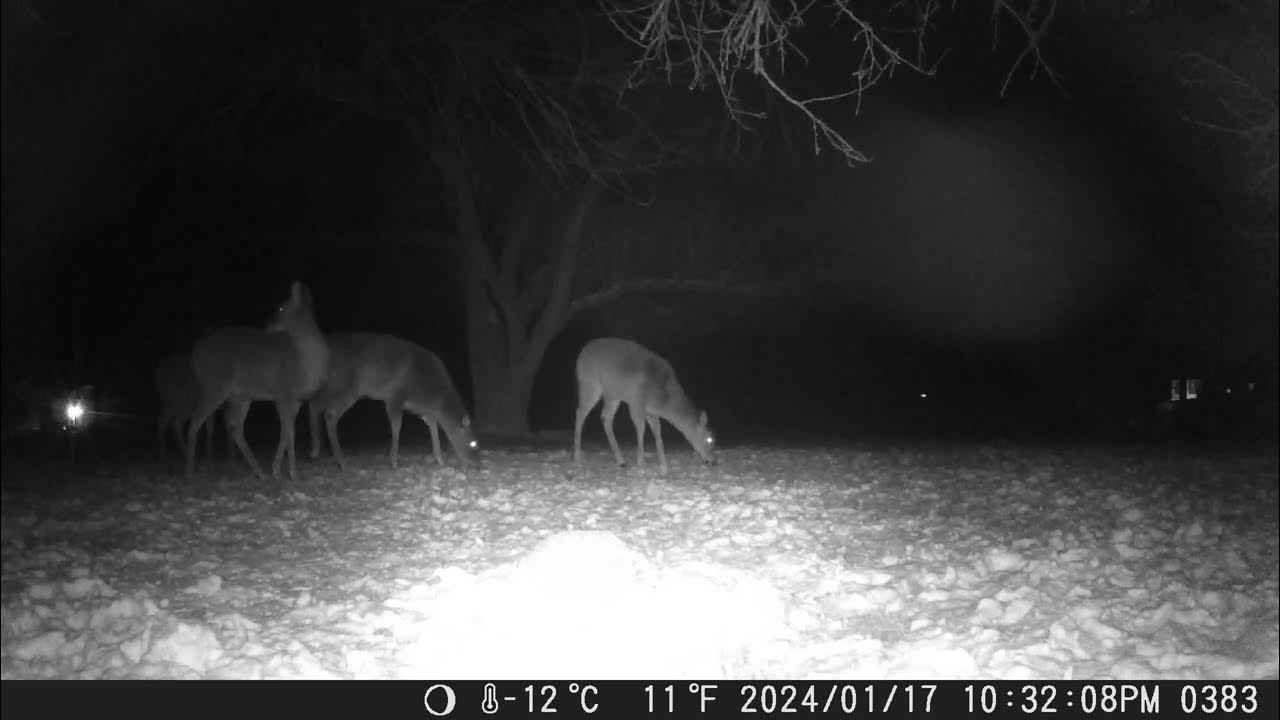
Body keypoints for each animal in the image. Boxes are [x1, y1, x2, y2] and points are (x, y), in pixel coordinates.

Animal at [185, 281, 330, 481]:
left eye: (281, 307)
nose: (266, 324)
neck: (306, 360)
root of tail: (195, 351)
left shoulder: (296, 400)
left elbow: (285, 432)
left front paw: (276, 470)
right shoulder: (283, 391)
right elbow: (289, 432)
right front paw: (293, 473)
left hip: (241, 395)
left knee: (234, 427)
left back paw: (259, 471)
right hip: (215, 384)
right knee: (195, 421)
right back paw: (189, 472)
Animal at [307, 332, 478, 469]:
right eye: (473, 443)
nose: (476, 462)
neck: (434, 398)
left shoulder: (422, 410)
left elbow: (433, 426)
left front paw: (439, 459)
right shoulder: (396, 396)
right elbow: (397, 426)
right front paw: (394, 461)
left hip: (335, 385)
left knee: (317, 406)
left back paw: (319, 451)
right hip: (346, 385)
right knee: (327, 412)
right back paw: (336, 459)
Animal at [572, 337, 715, 475]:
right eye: (709, 439)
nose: (714, 461)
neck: (663, 397)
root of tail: (582, 353)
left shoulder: (651, 411)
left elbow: (657, 432)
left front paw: (663, 466)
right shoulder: (636, 402)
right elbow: (641, 428)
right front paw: (641, 462)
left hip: (613, 395)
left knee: (605, 417)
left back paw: (621, 461)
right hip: (590, 384)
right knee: (580, 413)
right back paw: (577, 456)